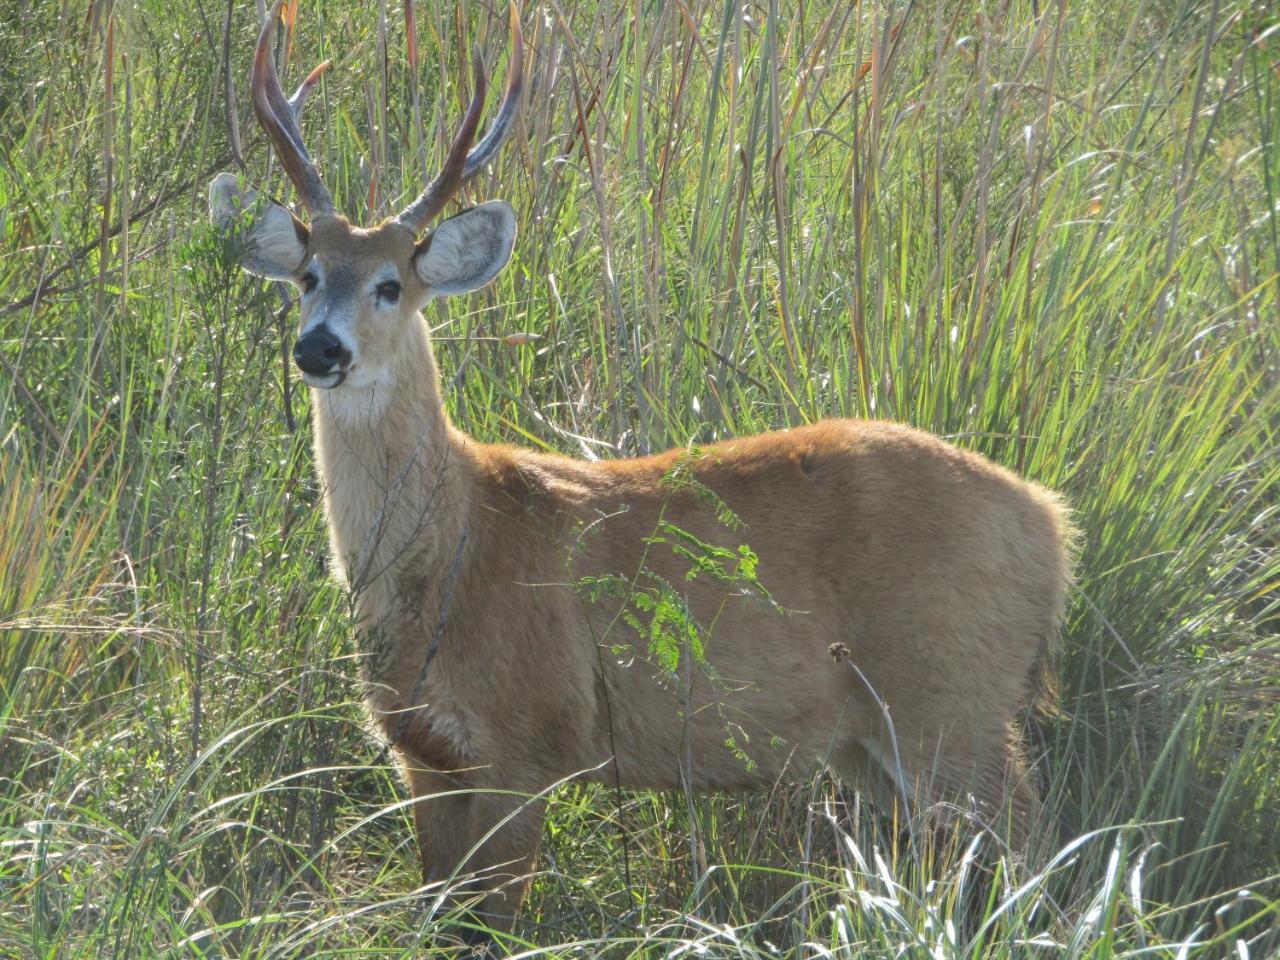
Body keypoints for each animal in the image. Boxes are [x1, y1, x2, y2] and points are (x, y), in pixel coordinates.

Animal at [207, 0, 1070, 947]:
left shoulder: (530, 740)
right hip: (880, 739)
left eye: (392, 284)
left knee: (1037, 853)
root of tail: (1051, 524)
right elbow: (438, 916)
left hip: (953, 697)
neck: (454, 544)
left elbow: (496, 927)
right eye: (307, 274)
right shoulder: (424, 755)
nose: (320, 348)